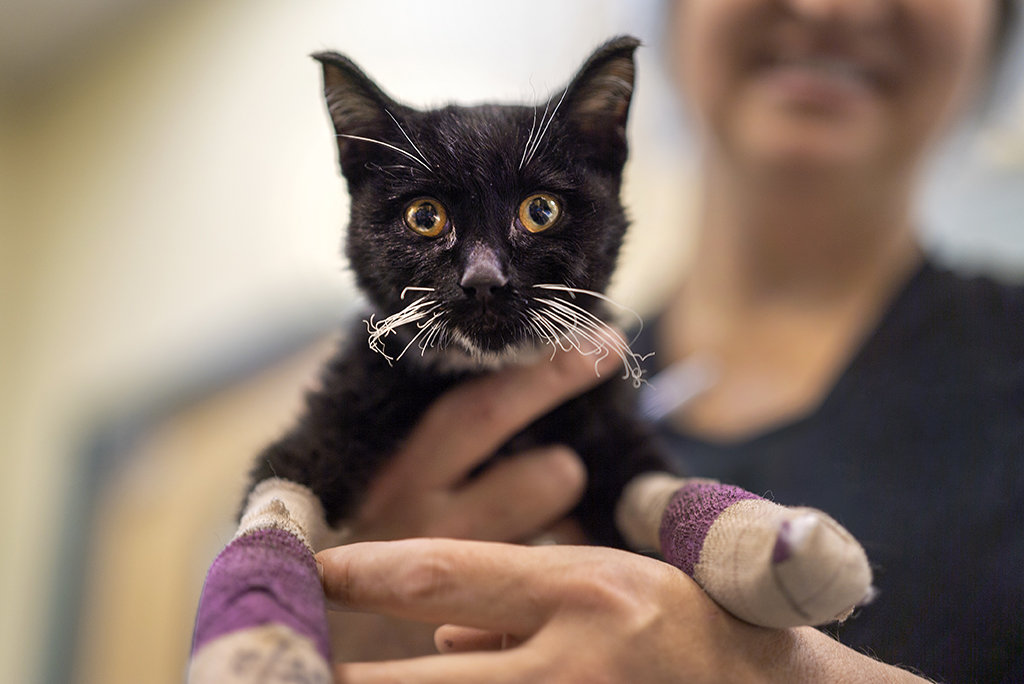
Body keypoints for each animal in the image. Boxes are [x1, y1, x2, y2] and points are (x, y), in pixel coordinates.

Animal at [246, 37, 663, 548]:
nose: (483, 278)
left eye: (540, 211)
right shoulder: (353, 386)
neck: (483, 368)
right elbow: (286, 480)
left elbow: (646, 483)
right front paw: (260, 564)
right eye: (425, 216)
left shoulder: (608, 417)